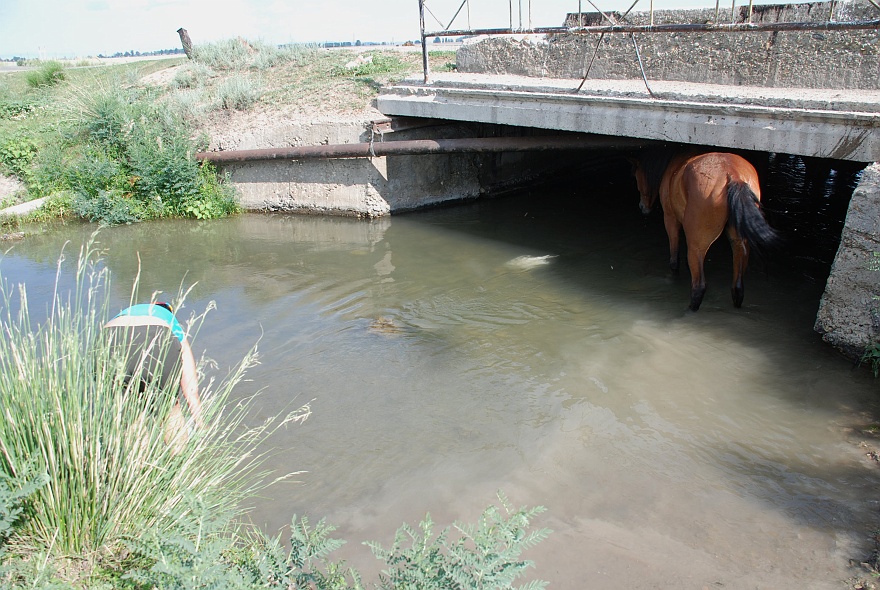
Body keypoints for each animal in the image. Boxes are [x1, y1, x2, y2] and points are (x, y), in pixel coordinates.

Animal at [632, 150, 776, 312]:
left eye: (637, 176)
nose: (642, 207)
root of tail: (733, 175)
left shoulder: (670, 220)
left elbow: (674, 260)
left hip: (697, 246)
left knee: (699, 286)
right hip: (739, 244)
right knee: (738, 287)